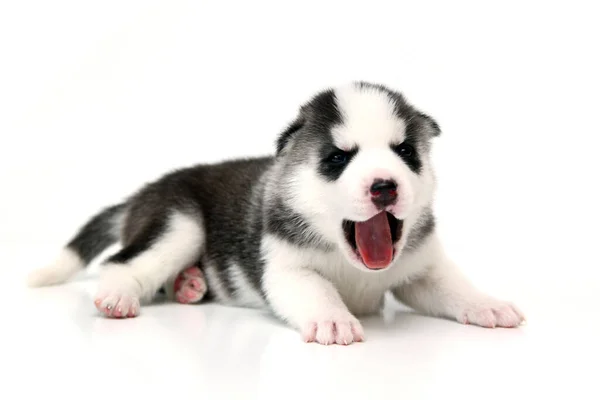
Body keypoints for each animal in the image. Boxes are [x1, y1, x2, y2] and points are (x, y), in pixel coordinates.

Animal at [29, 81, 524, 344]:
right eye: (337, 159)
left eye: (405, 152)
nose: (385, 185)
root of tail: (139, 195)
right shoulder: (287, 270)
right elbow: (318, 291)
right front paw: (333, 319)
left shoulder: (422, 270)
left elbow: (454, 287)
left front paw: (487, 304)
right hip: (178, 223)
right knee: (122, 263)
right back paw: (122, 296)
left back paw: (190, 284)